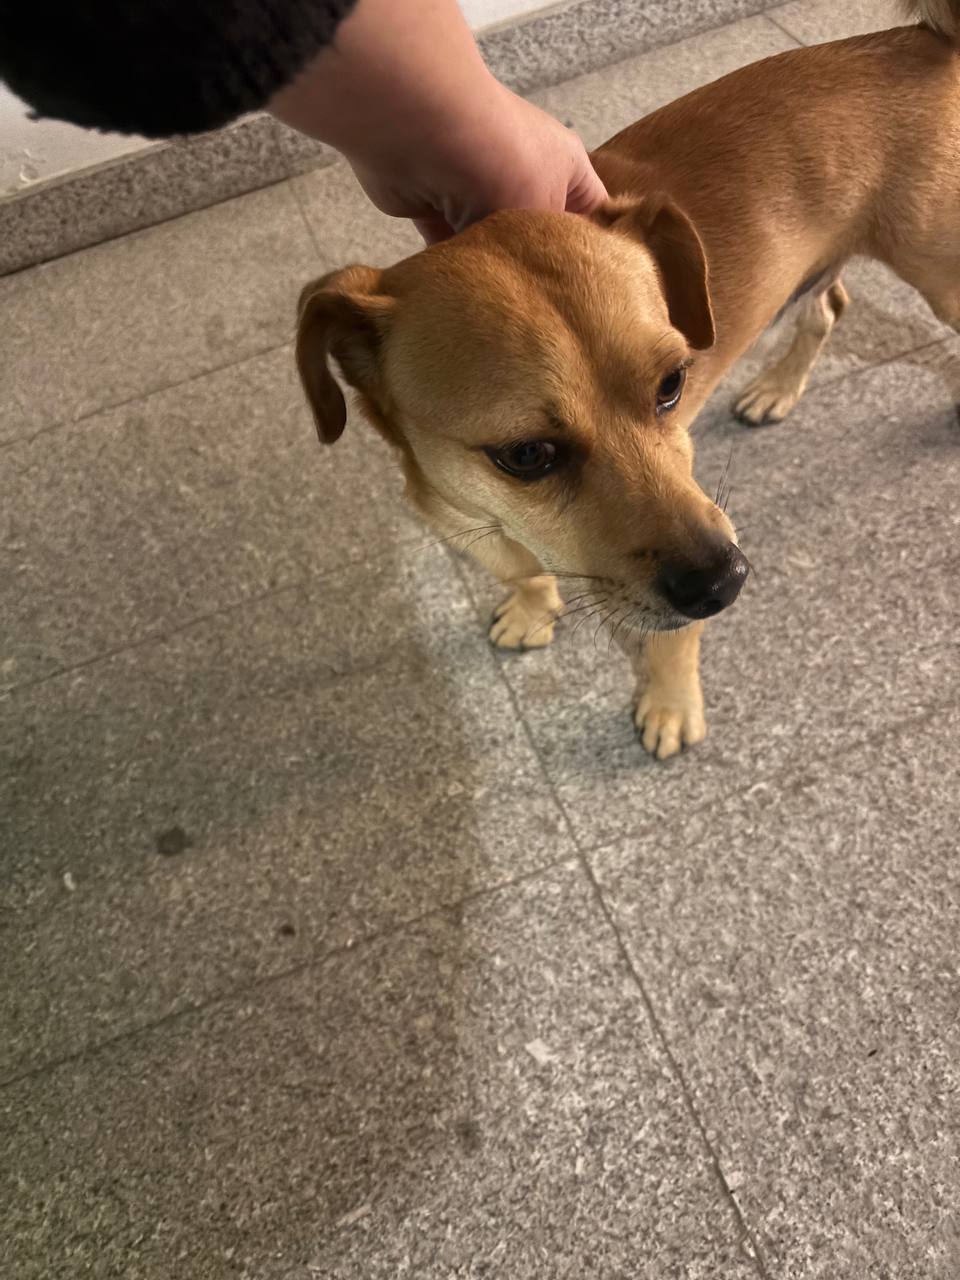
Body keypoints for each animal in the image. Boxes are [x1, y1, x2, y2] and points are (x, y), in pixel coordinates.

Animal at [295, 0, 959, 760]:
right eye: (526, 454)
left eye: (672, 383)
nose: (724, 582)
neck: (495, 517)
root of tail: (916, 42)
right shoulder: (462, 525)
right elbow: (521, 573)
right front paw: (532, 607)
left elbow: (669, 642)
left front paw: (670, 704)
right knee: (827, 308)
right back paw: (777, 389)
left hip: (939, 271)